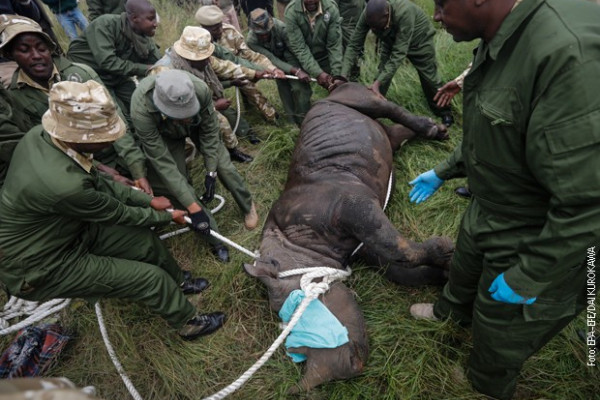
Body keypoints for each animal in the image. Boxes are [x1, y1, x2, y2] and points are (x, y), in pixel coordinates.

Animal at [244, 83, 454, 392]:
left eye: (302, 305)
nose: (331, 373)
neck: (296, 247)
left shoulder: (351, 205)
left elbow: (396, 247)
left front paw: (447, 251)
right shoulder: (361, 245)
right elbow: (399, 266)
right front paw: (446, 274)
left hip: (346, 93)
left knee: (372, 103)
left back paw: (434, 128)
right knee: (389, 136)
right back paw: (438, 131)